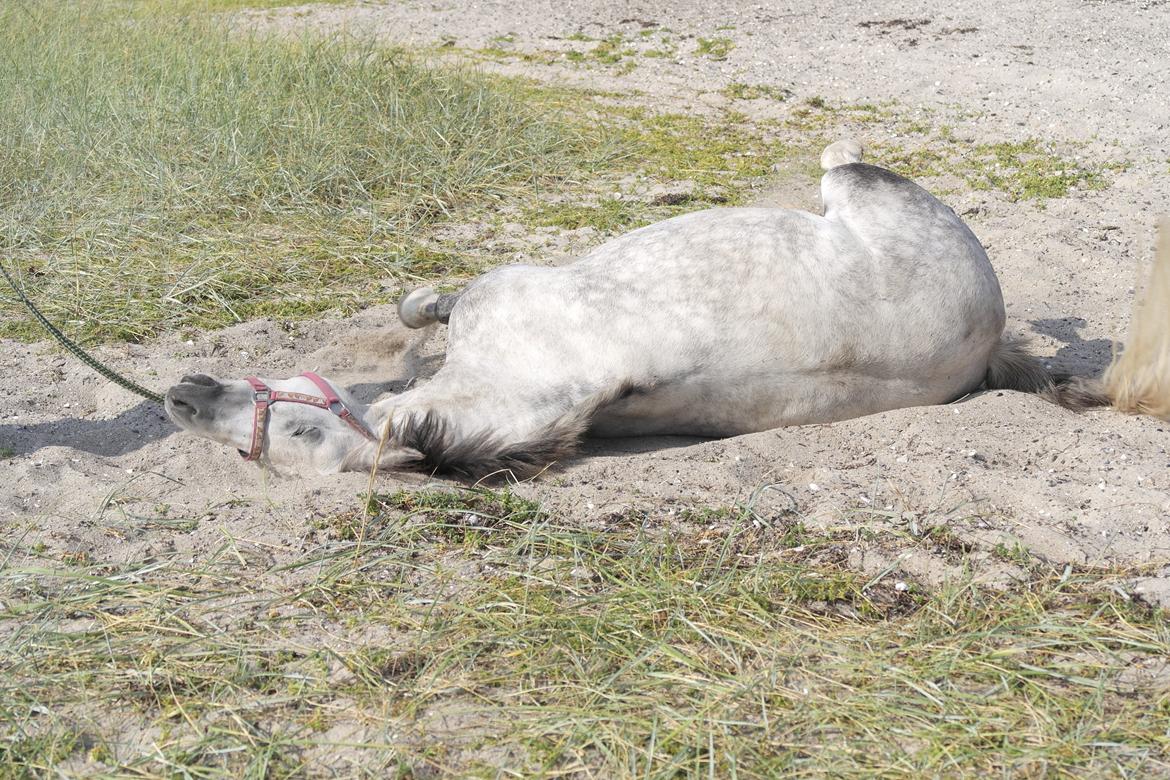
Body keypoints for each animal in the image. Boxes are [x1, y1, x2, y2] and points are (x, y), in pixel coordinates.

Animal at [167, 142, 1170, 479]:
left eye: (297, 433)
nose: (182, 394)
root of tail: (992, 343)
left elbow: (422, 306)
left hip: (863, 185)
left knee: (842, 158)